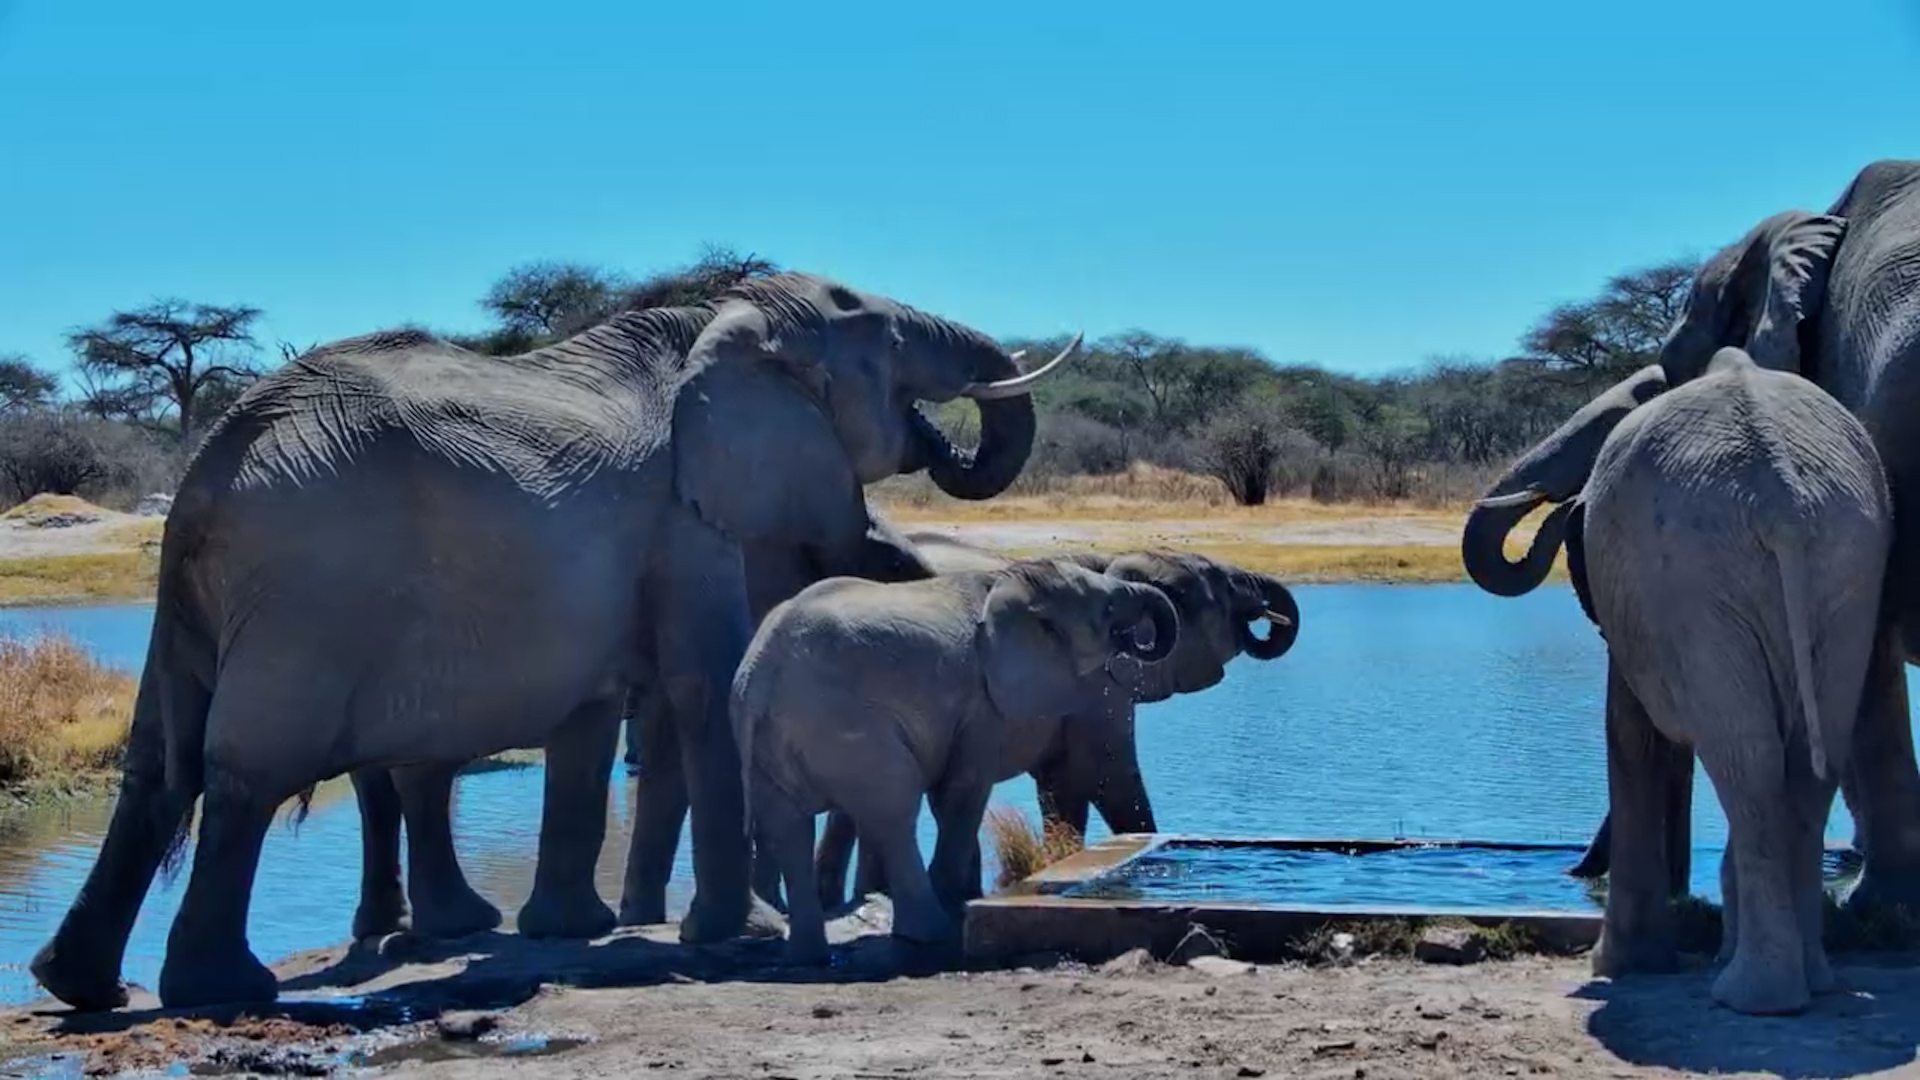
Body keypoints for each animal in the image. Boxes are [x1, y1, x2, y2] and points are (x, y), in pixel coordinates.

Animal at [29, 272, 1076, 1011]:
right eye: (886, 337)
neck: (724, 325)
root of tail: (215, 457)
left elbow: (589, 720)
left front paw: (574, 929)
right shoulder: (687, 514)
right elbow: (707, 683)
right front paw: (738, 934)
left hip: (198, 600)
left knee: (159, 764)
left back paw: (80, 985)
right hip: (309, 589)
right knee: (247, 769)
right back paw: (222, 989)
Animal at [732, 556, 1181, 962]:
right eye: (1107, 611)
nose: (1139, 641)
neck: (1007, 578)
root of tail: (762, 675)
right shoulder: (980, 702)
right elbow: (959, 793)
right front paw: (957, 902)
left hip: (774, 745)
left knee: (788, 829)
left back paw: (808, 957)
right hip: (849, 728)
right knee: (892, 813)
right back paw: (932, 932)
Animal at [805, 534, 1302, 909]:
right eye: (1223, 587)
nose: (1261, 610)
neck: (1111, 565)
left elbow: (1061, 790)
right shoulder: (1097, 689)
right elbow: (1108, 779)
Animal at [1463, 350, 1892, 1014]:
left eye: (1602, 426)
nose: (1555, 505)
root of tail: (1782, 501)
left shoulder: (1639, 594)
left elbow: (1629, 733)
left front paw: (1621, 965)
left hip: (1701, 574)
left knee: (1748, 761)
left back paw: (1755, 996)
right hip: (1846, 571)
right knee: (1806, 762)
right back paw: (1806, 982)